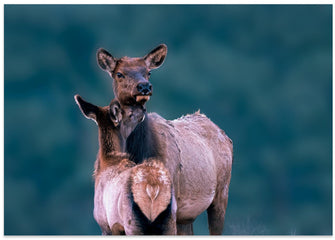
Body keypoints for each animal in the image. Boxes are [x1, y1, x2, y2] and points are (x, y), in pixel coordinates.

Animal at [74, 95, 177, 234]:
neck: (106, 162)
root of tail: (152, 188)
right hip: (170, 221)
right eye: (130, 113)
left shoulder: (105, 225)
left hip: (132, 223)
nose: (143, 109)